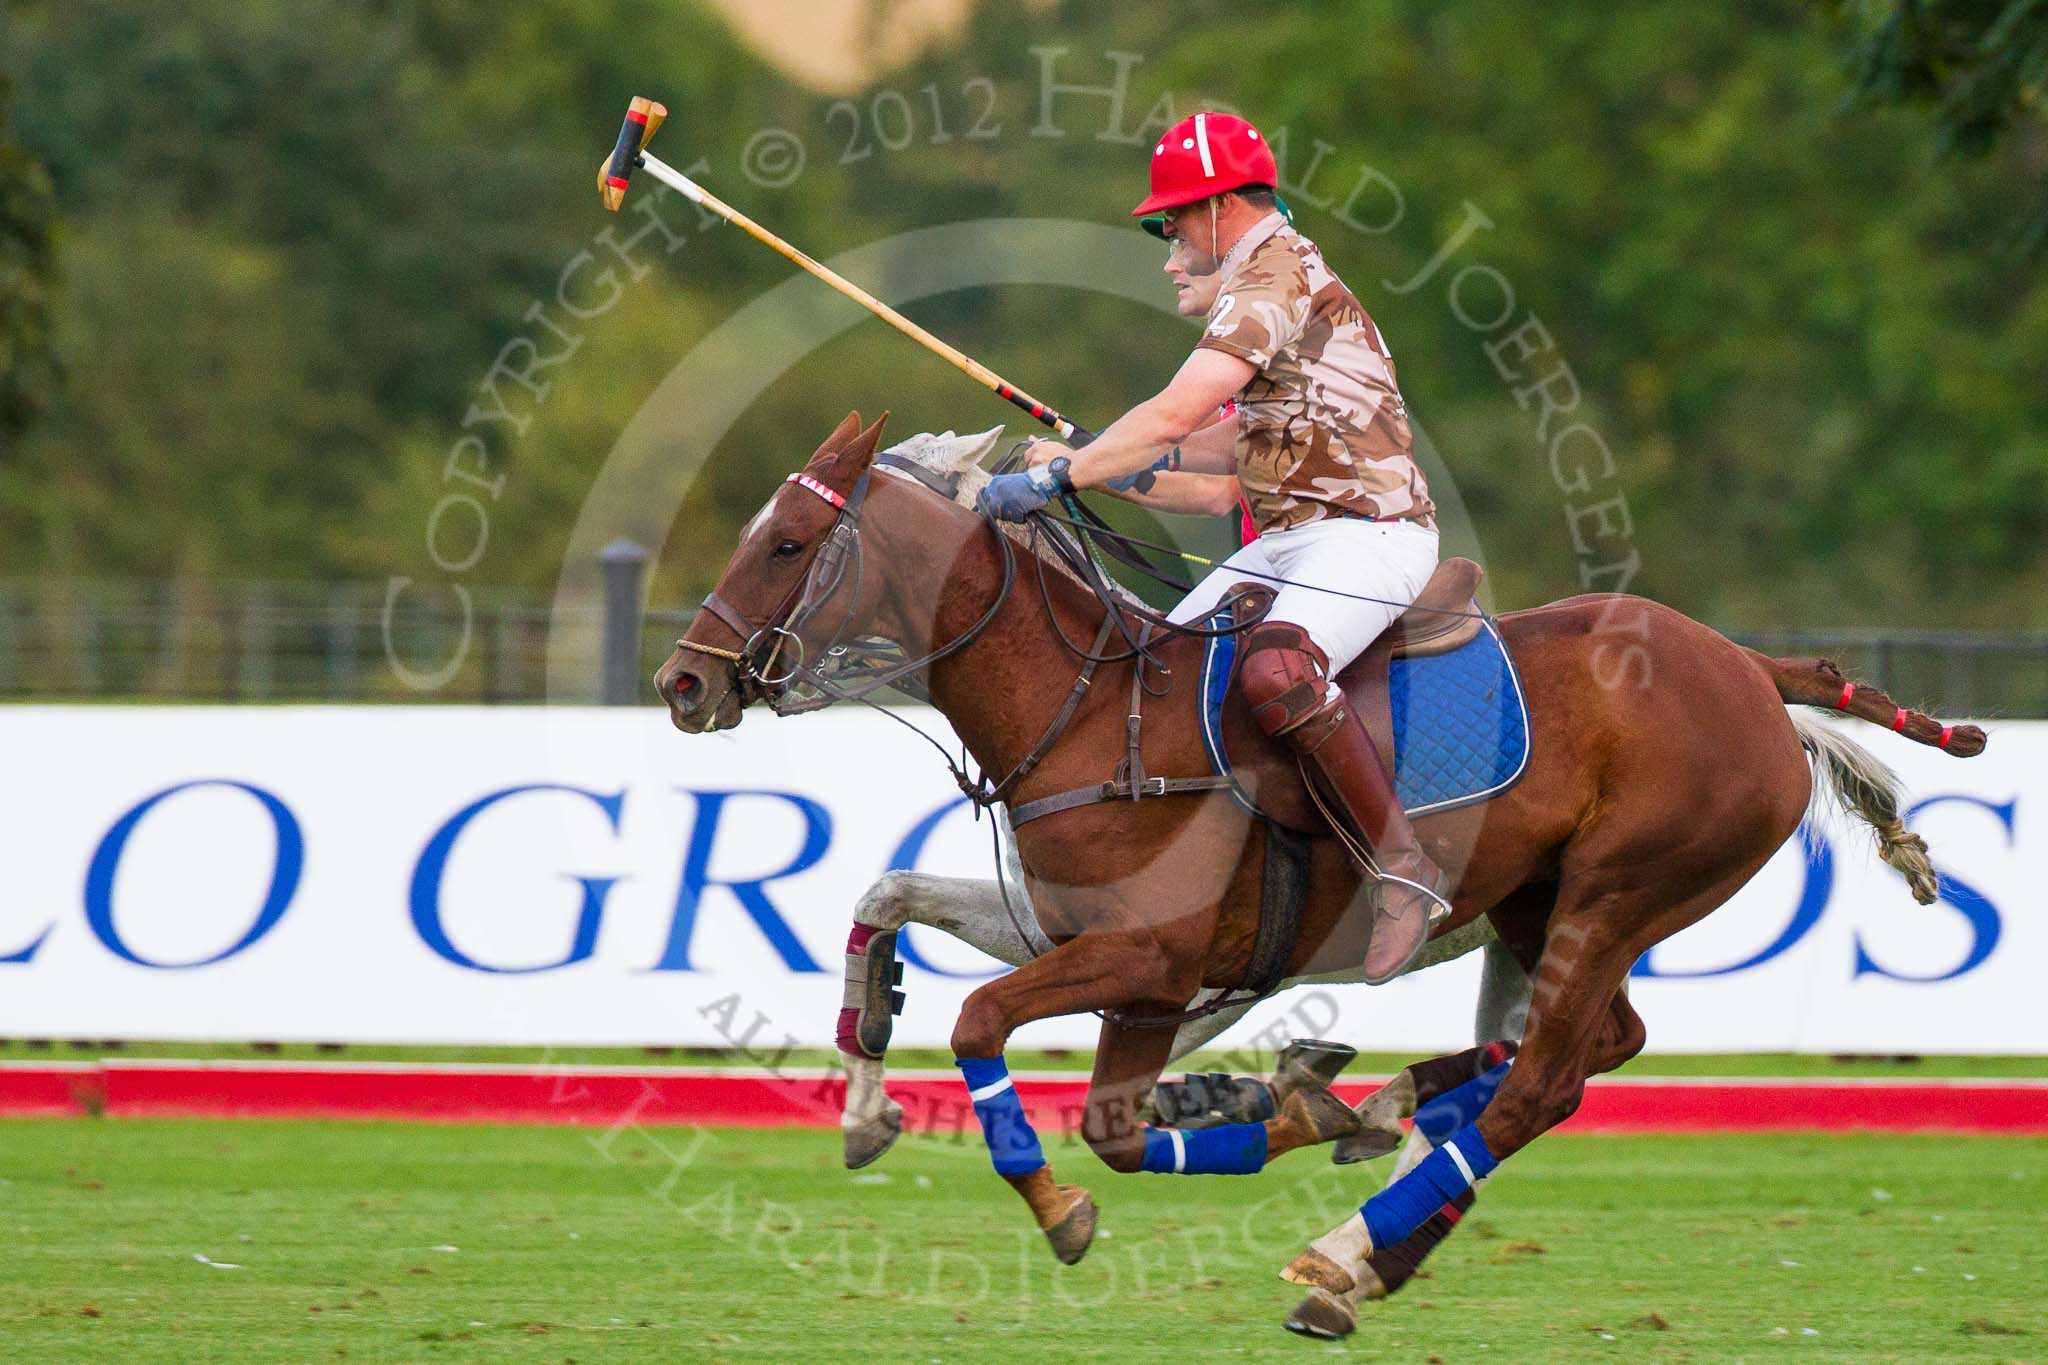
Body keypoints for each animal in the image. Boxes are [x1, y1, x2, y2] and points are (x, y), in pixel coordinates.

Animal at [651, 413, 1982, 1301]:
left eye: (785, 545)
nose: (684, 683)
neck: (1085, 710)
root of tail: (1750, 668)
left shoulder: (1150, 954)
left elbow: (988, 1030)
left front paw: (1064, 1207)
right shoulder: (1096, 947)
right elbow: (903, 915)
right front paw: (871, 1105)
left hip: (1621, 891)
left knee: (1548, 1079)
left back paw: (1353, 1251)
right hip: (1539, 908)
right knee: (1592, 1044)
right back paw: (1381, 1132)